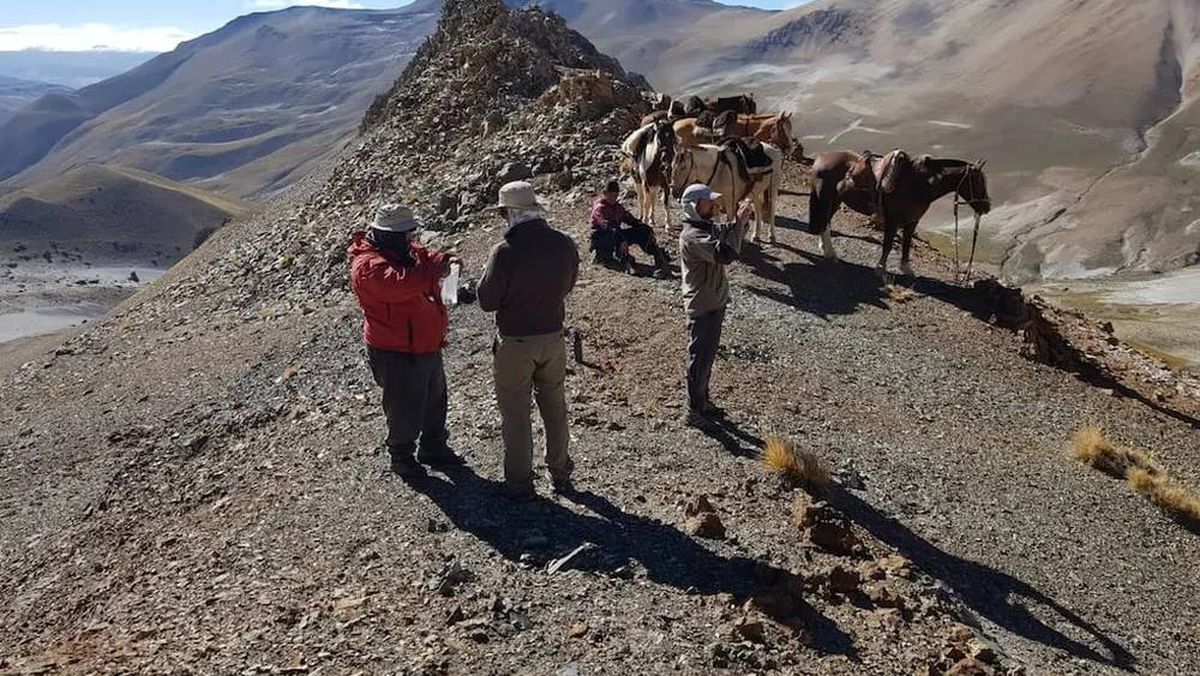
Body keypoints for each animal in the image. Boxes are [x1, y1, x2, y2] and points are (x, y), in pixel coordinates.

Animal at [806, 151, 993, 277]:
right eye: (977, 181)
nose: (986, 207)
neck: (919, 183)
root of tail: (820, 158)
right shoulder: (892, 220)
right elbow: (888, 245)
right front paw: (881, 269)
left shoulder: (912, 221)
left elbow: (906, 244)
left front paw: (906, 269)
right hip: (827, 200)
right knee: (824, 223)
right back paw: (831, 254)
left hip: (835, 201)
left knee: (825, 223)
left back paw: (826, 250)